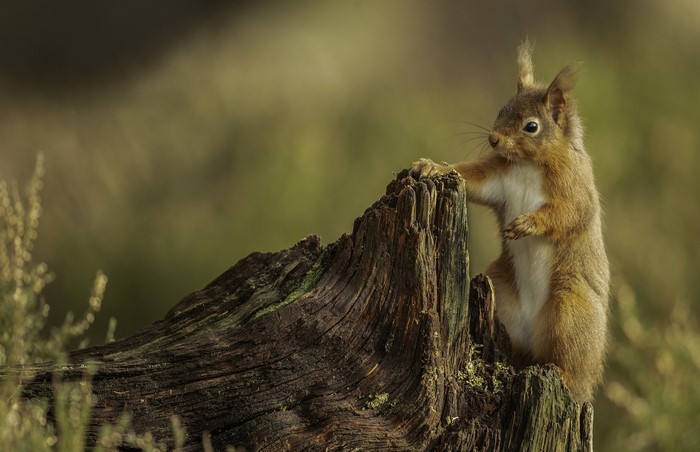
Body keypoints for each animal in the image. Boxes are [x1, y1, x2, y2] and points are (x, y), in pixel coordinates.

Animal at [410, 40, 609, 403]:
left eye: (531, 126)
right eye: (502, 109)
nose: (493, 139)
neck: (528, 164)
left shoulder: (576, 189)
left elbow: (569, 214)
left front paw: (527, 224)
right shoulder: (496, 179)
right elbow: (470, 178)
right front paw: (433, 166)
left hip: (571, 311)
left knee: (570, 366)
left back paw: (565, 375)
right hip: (501, 293)